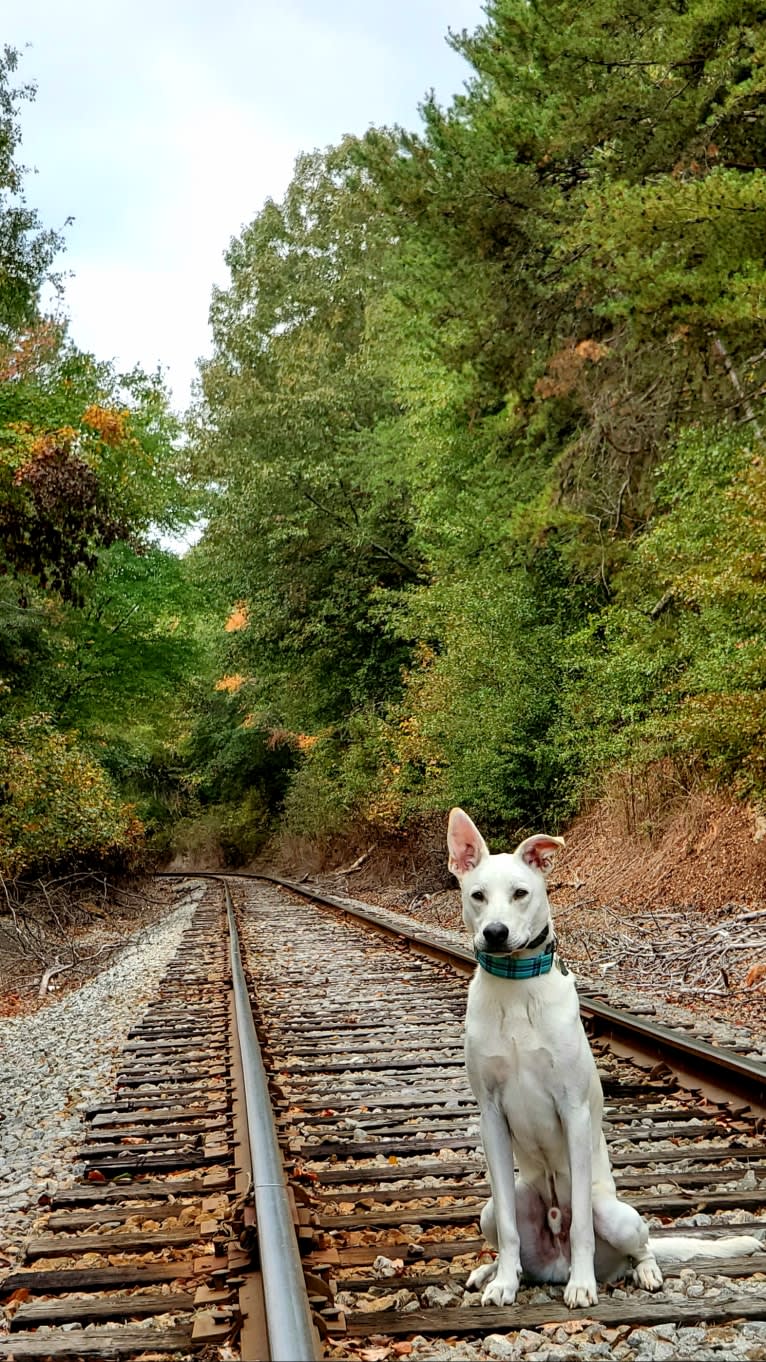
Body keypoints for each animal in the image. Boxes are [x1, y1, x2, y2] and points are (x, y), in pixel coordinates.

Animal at [444, 806, 757, 1307]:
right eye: (477, 895)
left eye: (520, 893)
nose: (495, 933)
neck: (516, 990)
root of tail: (552, 1265)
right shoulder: (490, 1114)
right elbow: (510, 1227)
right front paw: (504, 1282)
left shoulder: (572, 1110)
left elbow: (583, 1233)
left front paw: (582, 1286)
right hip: (490, 1209)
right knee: (508, 1226)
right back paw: (492, 1271)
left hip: (616, 1215)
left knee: (639, 1246)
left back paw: (641, 1273)